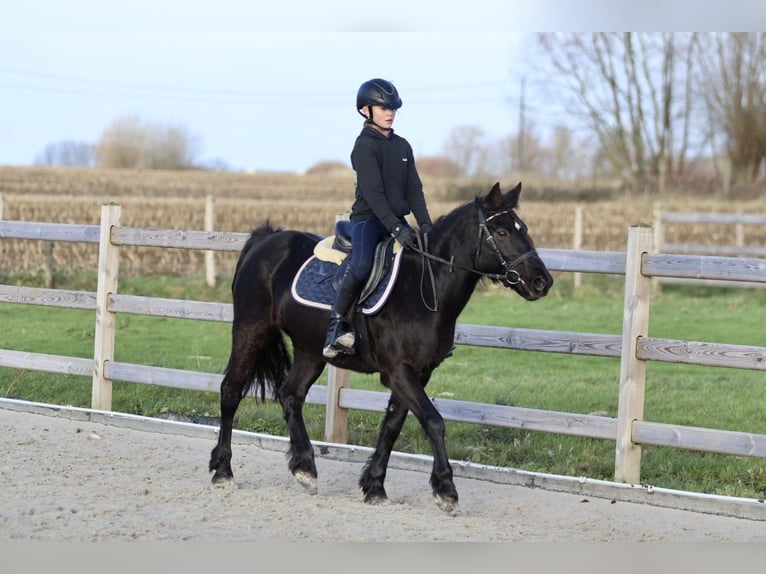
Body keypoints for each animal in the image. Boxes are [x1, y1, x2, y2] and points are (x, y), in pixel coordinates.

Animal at [210, 182, 556, 516]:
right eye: (501, 232)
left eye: (523, 228)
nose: (542, 282)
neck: (424, 287)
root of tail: (267, 239)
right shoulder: (398, 372)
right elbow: (433, 421)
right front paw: (446, 491)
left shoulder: (419, 372)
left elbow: (392, 426)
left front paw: (375, 486)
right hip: (251, 330)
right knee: (231, 390)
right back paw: (223, 471)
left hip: (309, 349)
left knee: (290, 396)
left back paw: (305, 468)